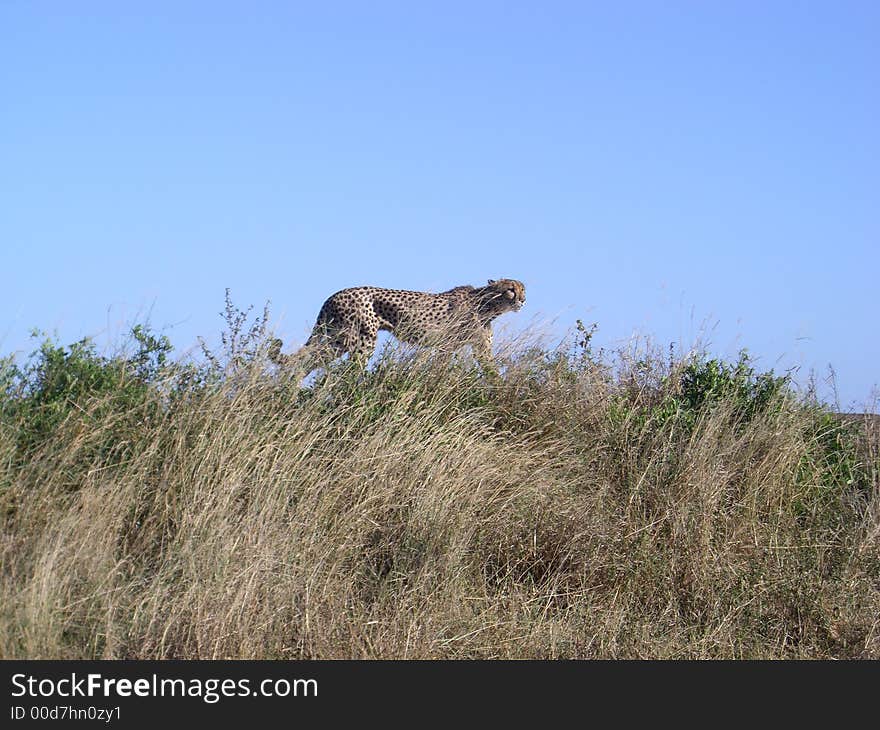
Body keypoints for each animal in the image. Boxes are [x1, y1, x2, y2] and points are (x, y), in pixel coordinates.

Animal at [268, 278, 524, 376]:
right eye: (511, 289)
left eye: (523, 290)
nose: (523, 300)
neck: (488, 305)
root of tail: (335, 295)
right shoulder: (447, 345)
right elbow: (440, 369)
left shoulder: (479, 349)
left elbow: (491, 371)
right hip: (361, 340)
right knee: (348, 370)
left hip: (338, 340)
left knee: (306, 361)